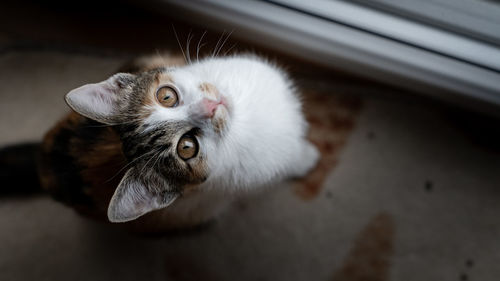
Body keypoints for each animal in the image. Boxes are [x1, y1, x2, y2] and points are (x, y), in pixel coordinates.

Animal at [3, 52, 318, 232]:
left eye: (166, 96)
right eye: (187, 147)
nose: (210, 107)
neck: (242, 116)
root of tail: (43, 159)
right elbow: (291, 158)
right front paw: (307, 157)